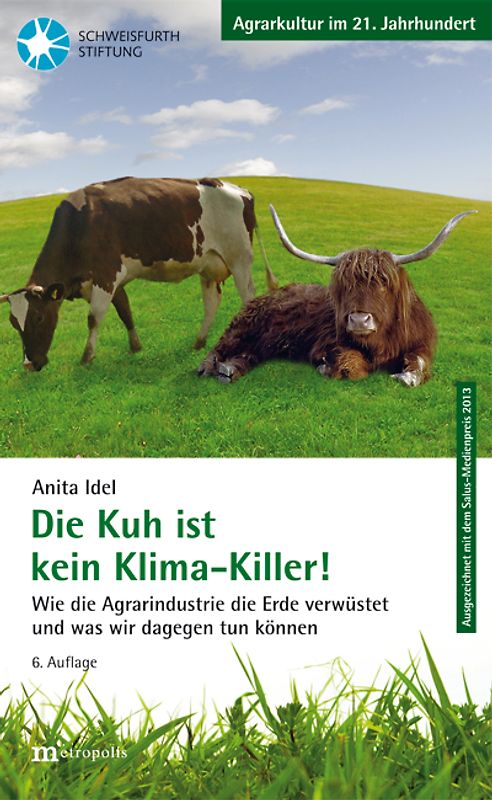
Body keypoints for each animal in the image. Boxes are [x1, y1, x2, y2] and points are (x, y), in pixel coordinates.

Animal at [0, 176, 277, 371]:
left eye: (38, 318)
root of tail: (239, 189)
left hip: (239, 259)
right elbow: (125, 311)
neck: (81, 224)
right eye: (13, 322)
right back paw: (199, 341)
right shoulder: (114, 281)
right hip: (208, 264)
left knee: (248, 298)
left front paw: (87, 357)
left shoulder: (106, 274)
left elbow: (94, 318)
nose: (29, 365)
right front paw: (135, 346)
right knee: (212, 303)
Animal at [198, 205, 476, 387]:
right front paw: (327, 366)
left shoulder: (421, 343)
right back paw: (210, 367)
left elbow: (418, 363)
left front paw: (407, 376)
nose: (359, 320)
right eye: (345, 285)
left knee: (250, 353)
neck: (381, 341)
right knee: (222, 345)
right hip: (245, 327)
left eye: (383, 283)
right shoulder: (328, 342)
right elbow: (353, 365)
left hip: (265, 342)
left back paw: (228, 370)